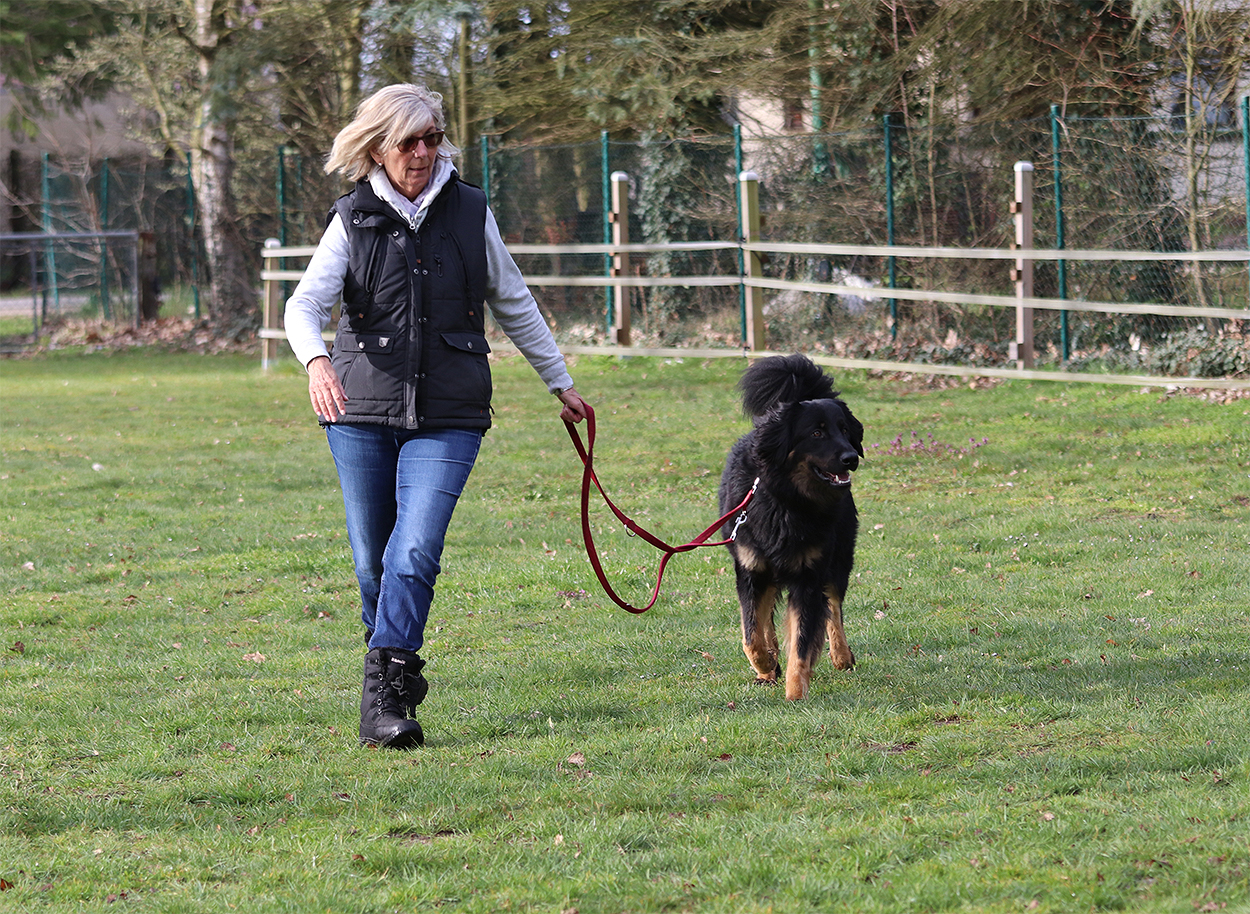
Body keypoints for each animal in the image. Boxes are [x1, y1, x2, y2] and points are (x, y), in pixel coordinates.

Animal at [718, 354, 864, 700]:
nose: (852, 457)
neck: (786, 501)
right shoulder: (750, 571)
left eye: (844, 430)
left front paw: (796, 692)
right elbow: (751, 635)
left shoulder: (808, 576)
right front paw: (766, 665)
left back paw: (841, 655)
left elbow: (801, 640)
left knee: (834, 606)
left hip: (839, 557)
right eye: (817, 433)